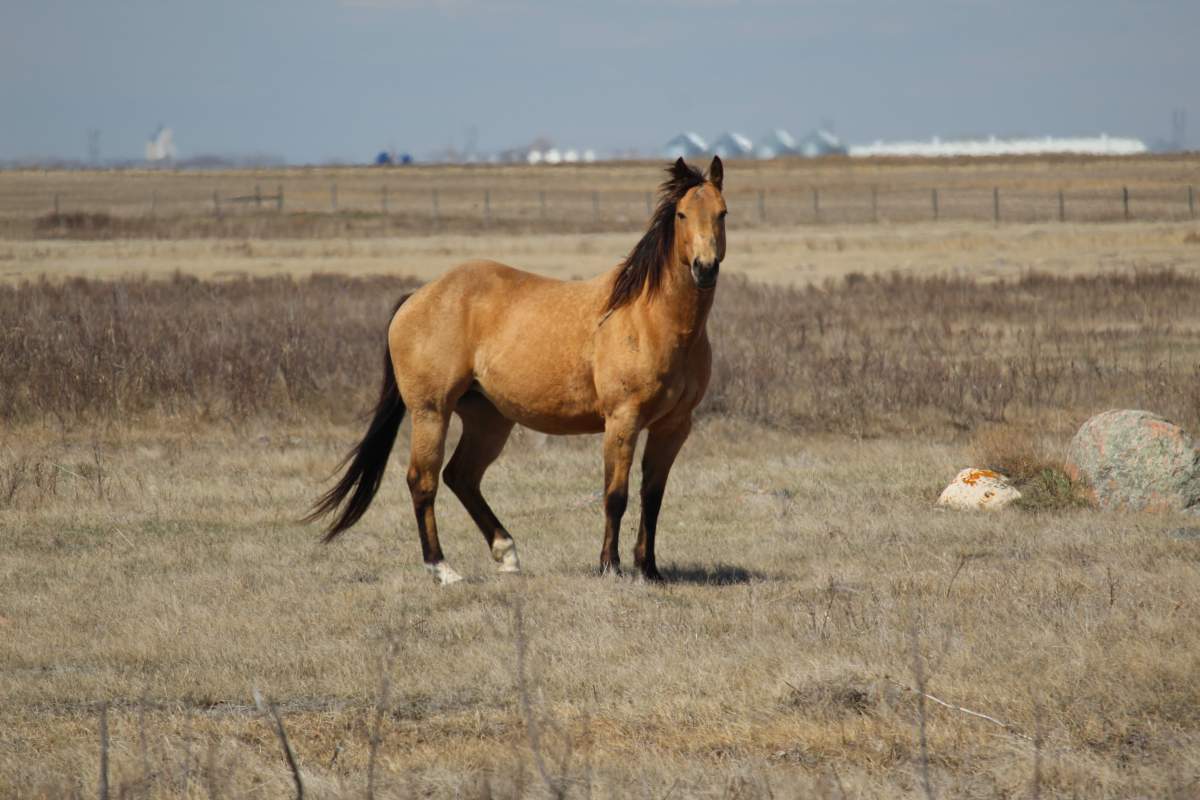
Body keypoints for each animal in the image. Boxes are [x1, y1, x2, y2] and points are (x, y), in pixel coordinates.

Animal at [307, 156, 727, 584]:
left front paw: (649, 569)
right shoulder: (622, 420)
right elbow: (616, 495)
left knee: (461, 476)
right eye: (681, 214)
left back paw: (506, 553)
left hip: (488, 419)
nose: (705, 268)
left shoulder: (673, 426)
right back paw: (443, 569)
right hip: (431, 412)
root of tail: (418, 296)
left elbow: (652, 496)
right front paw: (610, 566)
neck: (650, 318)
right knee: (422, 481)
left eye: (722, 213)